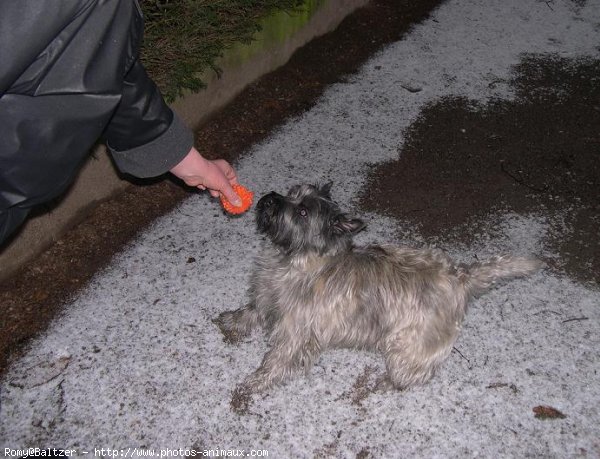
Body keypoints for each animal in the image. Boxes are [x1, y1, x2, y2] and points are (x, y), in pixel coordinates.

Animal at [214, 183, 540, 392]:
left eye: (303, 211)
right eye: (291, 193)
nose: (268, 199)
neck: (296, 259)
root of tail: (459, 275)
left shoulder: (294, 333)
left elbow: (276, 360)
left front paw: (256, 381)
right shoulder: (266, 300)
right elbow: (251, 311)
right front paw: (232, 319)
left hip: (406, 344)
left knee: (416, 372)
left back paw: (389, 382)